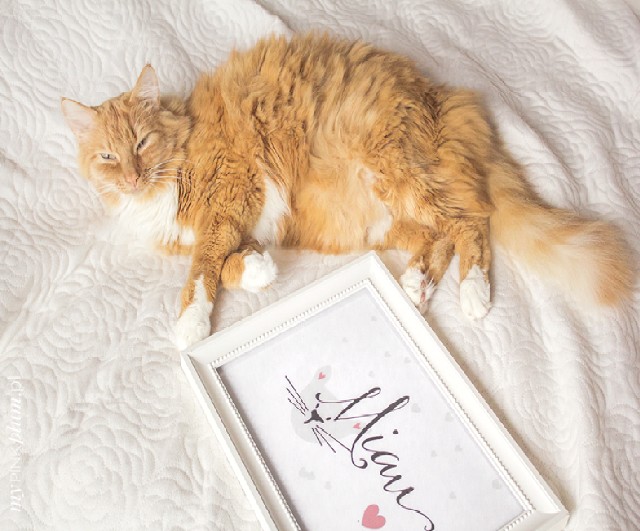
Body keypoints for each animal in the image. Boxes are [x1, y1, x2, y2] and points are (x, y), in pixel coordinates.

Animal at [61, 33, 633, 349]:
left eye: (141, 143)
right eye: (108, 158)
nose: (132, 177)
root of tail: (444, 95)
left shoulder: (231, 196)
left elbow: (203, 269)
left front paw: (190, 325)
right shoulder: (233, 222)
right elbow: (228, 262)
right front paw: (259, 271)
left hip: (399, 176)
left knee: (471, 222)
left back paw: (473, 295)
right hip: (383, 219)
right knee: (439, 236)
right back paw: (416, 287)